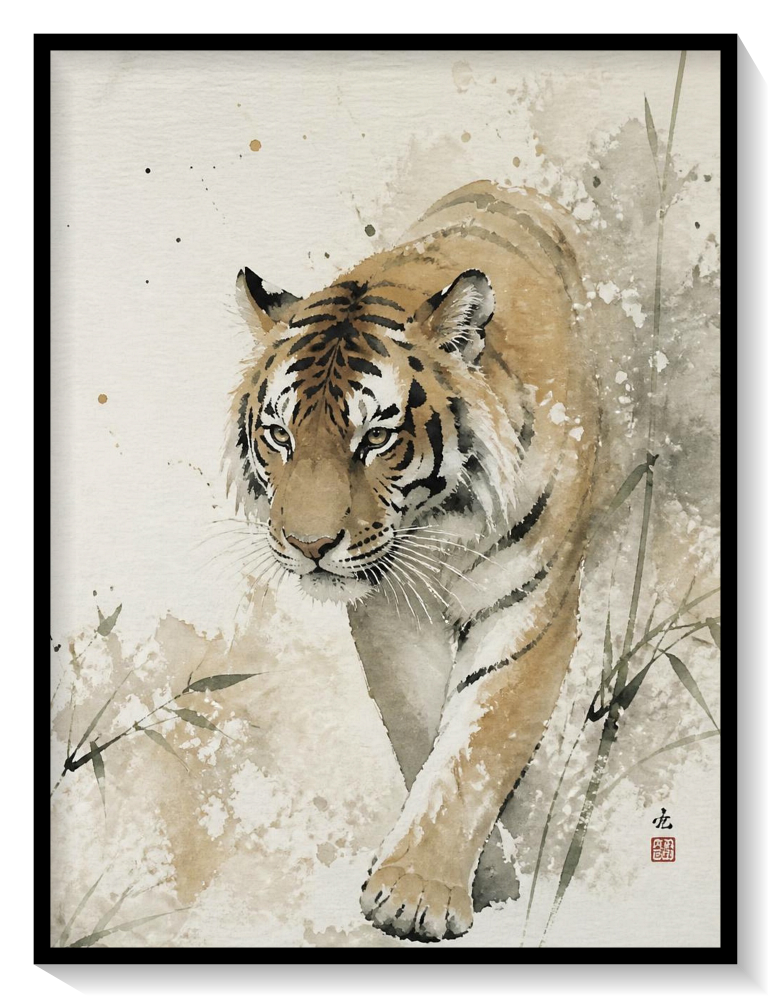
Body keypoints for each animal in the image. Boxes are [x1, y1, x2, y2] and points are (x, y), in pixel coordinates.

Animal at [225, 180, 600, 942]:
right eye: (279, 434)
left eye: (375, 437)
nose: (308, 545)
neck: (442, 527)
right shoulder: (389, 613)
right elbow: (421, 729)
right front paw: (485, 876)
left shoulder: (532, 609)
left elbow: (476, 748)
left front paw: (416, 896)